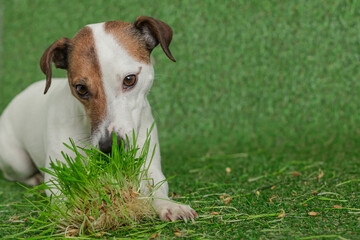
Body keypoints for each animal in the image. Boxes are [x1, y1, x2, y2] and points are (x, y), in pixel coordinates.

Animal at [0, 15, 198, 222]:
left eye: (130, 79)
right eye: (80, 88)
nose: (110, 147)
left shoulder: (149, 165)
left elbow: (157, 186)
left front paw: (169, 205)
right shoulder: (56, 174)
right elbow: (61, 197)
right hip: (17, 161)